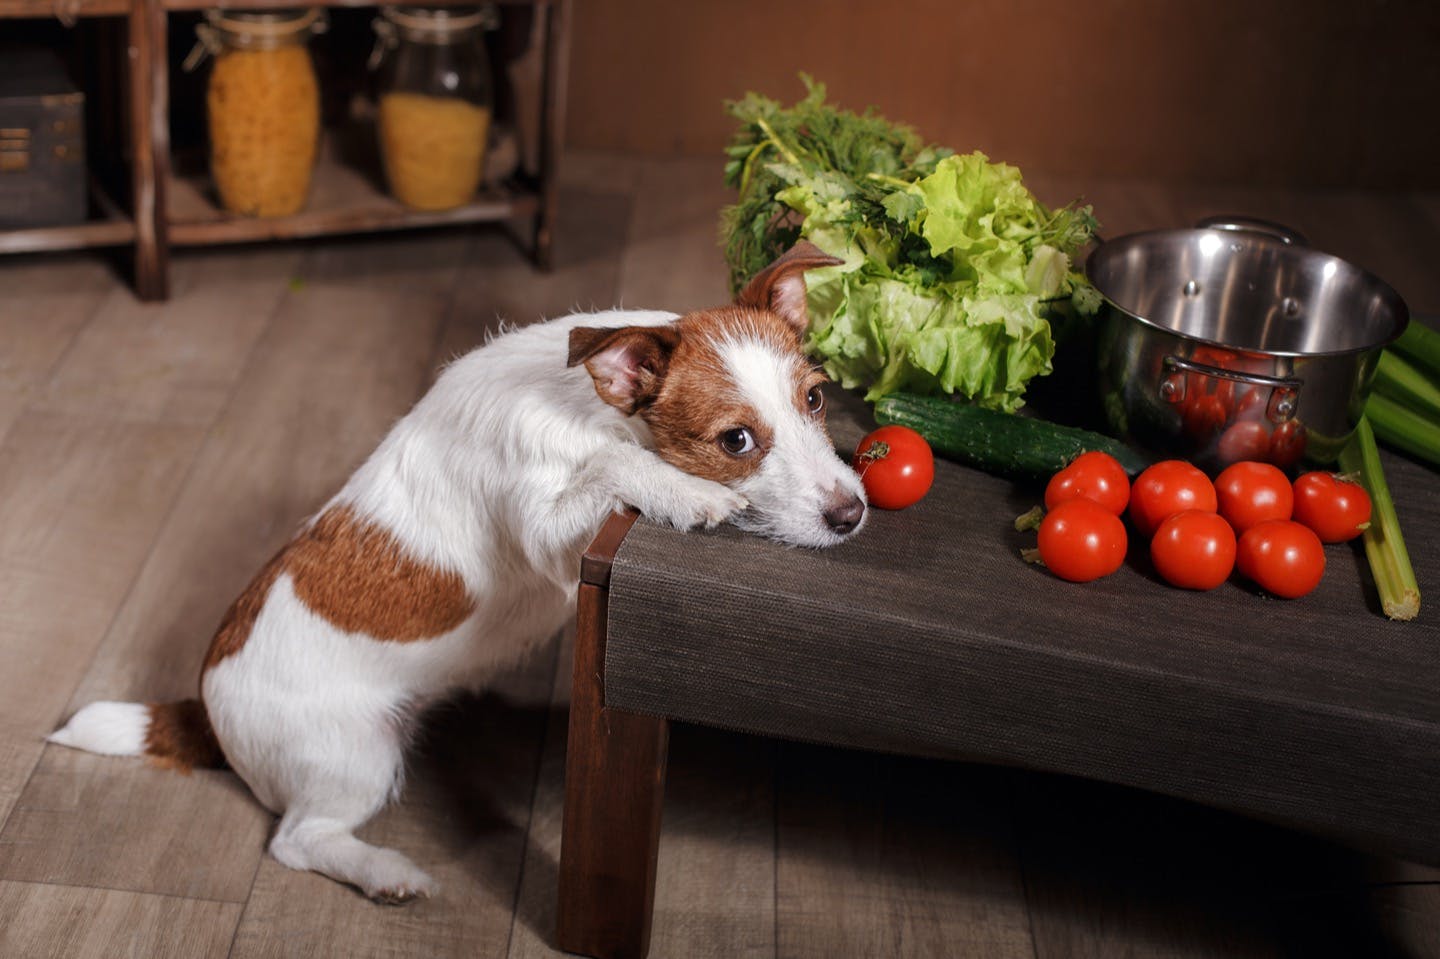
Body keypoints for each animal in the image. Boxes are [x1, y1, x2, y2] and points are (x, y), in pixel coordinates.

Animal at [47, 243, 864, 898]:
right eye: (736, 442)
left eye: (817, 398)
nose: (852, 512)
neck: (589, 405)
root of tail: (205, 707)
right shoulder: (550, 538)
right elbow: (610, 467)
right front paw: (688, 493)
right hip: (354, 755)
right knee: (296, 841)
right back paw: (385, 873)